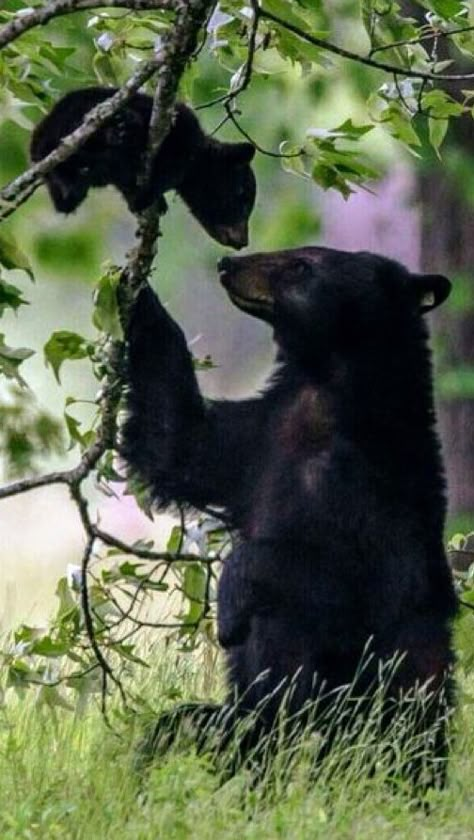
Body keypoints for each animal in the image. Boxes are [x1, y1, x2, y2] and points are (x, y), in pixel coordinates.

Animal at [30, 88, 256, 248]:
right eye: (243, 197)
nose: (243, 241)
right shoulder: (182, 128)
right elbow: (171, 167)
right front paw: (146, 196)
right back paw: (123, 131)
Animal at [124, 246, 458, 784]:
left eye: (303, 264)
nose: (227, 264)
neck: (324, 391)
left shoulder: (381, 493)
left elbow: (348, 582)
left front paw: (231, 600)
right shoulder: (258, 439)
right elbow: (178, 441)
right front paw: (135, 292)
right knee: (195, 727)